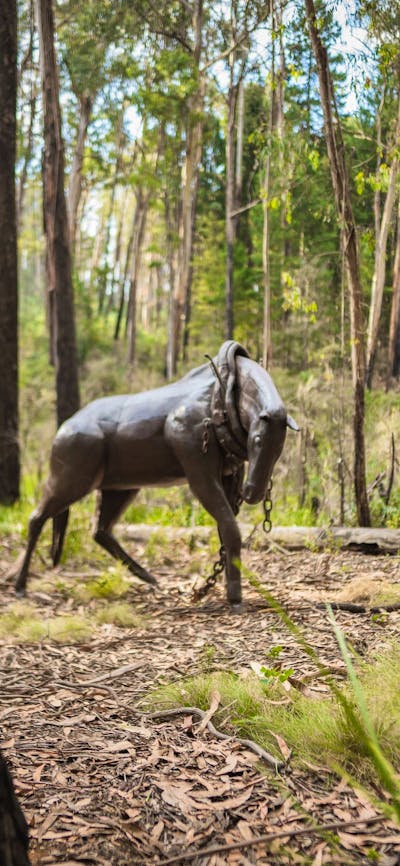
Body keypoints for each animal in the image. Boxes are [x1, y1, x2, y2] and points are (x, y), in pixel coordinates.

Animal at [13, 341, 298, 605]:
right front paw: (234, 597)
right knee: (36, 519)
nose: (253, 492)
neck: (223, 403)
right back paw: (19, 585)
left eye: (280, 447)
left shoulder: (229, 477)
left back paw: (148, 577)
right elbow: (231, 530)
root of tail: (64, 427)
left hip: (120, 488)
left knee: (100, 531)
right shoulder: (200, 476)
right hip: (70, 482)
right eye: (257, 439)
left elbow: (226, 532)